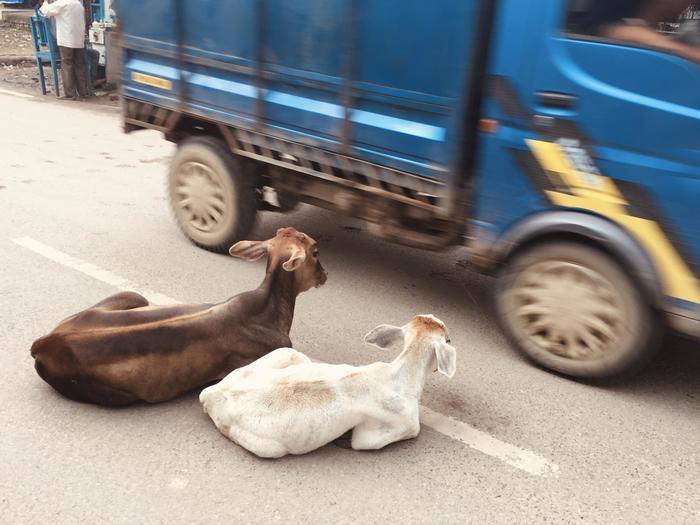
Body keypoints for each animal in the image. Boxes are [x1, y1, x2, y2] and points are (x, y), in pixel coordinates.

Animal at [30, 227, 328, 408]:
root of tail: (43, 343)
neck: (268, 306)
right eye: (315, 251)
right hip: (119, 395)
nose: (324, 275)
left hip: (132, 297)